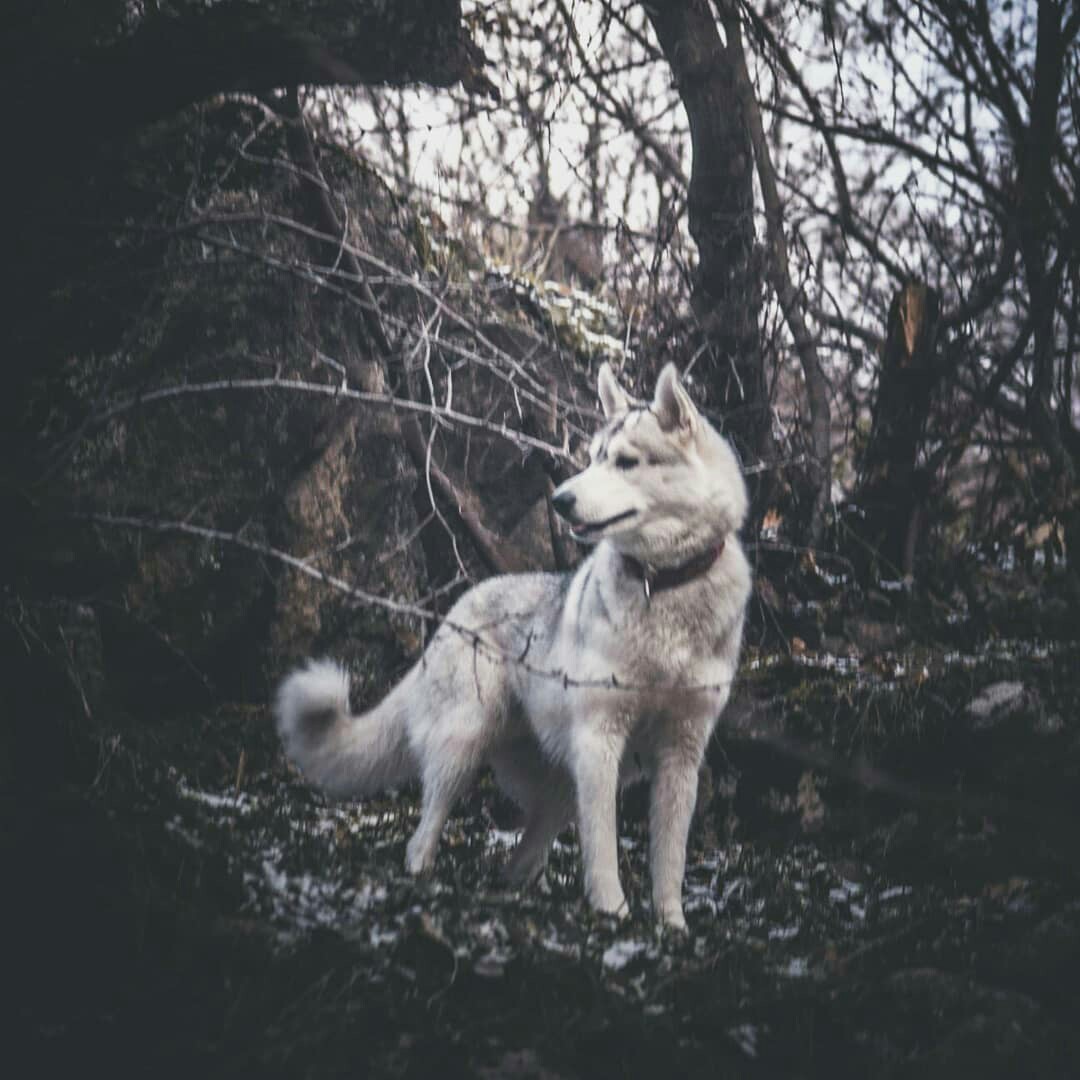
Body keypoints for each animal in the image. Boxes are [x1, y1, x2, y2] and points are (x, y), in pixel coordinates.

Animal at [276, 362, 751, 928]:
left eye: (626, 461)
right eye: (593, 457)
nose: (560, 500)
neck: (665, 587)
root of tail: (459, 605)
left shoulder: (681, 753)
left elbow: (670, 857)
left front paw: (671, 924)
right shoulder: (600, 741)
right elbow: (603, 846)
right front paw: (611, 911)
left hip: (562, 782)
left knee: (523, 852)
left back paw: (516, 891)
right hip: (465, 747)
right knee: (423, 836)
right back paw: (426, 884)